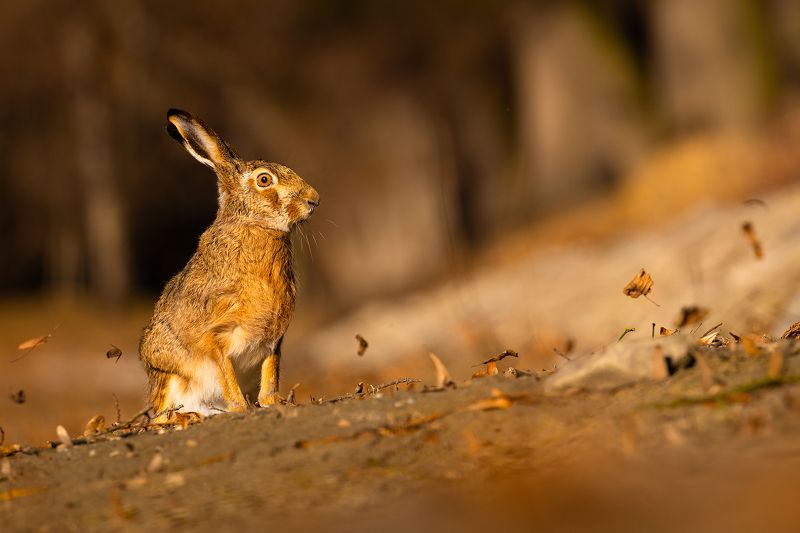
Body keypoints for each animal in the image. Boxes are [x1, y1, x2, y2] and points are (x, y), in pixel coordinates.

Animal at [138, 109, 319, 418]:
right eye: (264, 180)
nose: (313, 200)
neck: (255, 225)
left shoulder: (273, 340)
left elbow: (270, 373)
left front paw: (273, 402)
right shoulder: (215, 336)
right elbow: (225, 371)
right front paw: (239, 408)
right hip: (171, 377)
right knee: (161, 417)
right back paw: (189, 416)